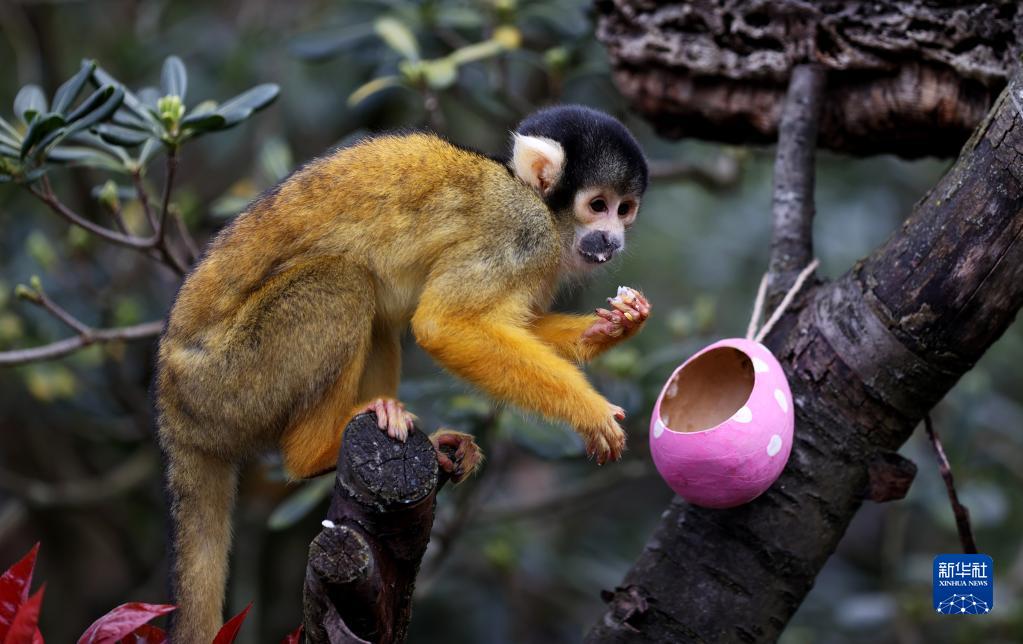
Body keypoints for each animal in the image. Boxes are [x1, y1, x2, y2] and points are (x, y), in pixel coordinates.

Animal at [155, 104, 650, 641]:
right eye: (597, 205)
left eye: (625, 209)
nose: (614, 240)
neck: (533, 199)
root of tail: (173, 409)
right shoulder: (519, 233)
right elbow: (444, 325)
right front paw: (590, 412)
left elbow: (510, 323)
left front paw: (612, 327)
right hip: (230, 382)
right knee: (344, 282)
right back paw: (315, 451)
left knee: (377, 311)